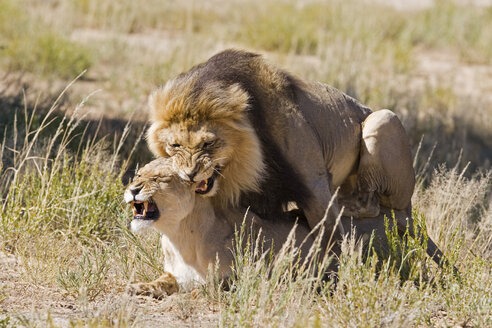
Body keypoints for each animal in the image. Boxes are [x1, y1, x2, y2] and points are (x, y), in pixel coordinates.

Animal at [146, 49, 416, 241]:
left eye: (208, 143)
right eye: (175, 145)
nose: (190, 174)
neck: (250, 163)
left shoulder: (314, 182)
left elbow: (328, 233)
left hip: (383, 120)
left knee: (371, 204)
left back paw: (343, 205)